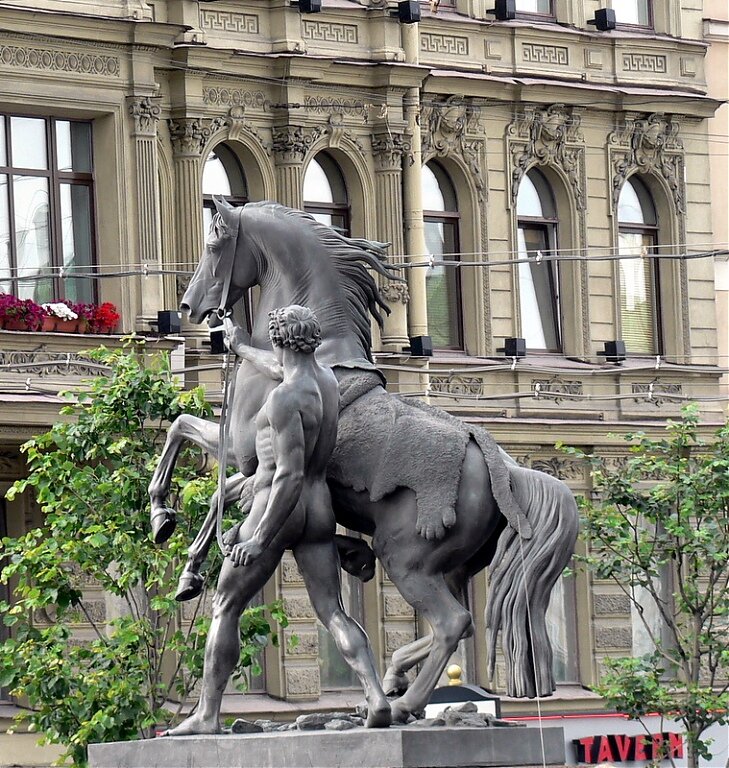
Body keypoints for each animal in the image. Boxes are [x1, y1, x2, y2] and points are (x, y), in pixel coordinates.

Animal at [149, 200, 580, 728]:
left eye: (214, 244)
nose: (189, 308)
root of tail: (507, 469)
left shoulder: (243, 450)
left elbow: (180, 428)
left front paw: (162, 516)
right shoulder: (254, 473)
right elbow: (220, 497)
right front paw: (191, 567)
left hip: (408, 561)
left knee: (451, 623)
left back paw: (403, 704)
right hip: (451, 568)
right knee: (462, 625)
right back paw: (390, 682)